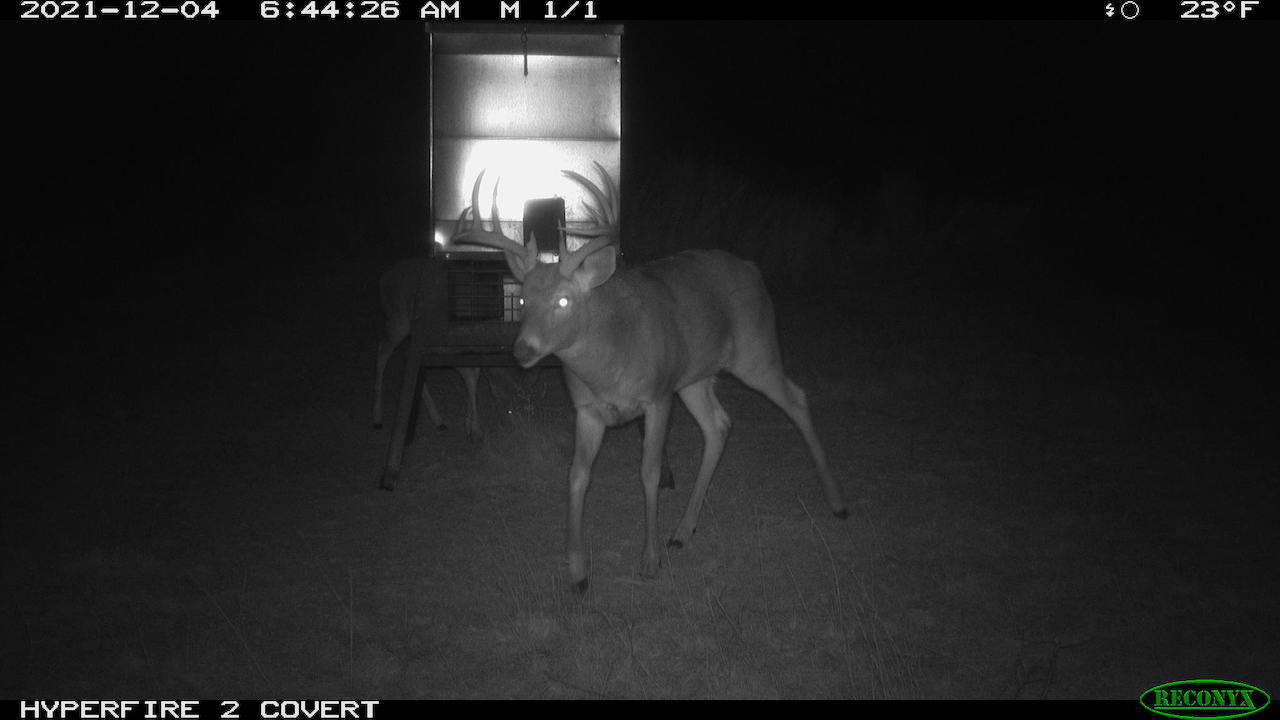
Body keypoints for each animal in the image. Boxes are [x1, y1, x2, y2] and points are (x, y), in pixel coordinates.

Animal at [374, 256, 483, 441]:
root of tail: (383, 277)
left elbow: (474, 374)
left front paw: (469, 425)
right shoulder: (451, 344)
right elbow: (470, 375)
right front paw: (475, 430)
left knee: (405, 355)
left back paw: (438, 420)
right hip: (399, 320)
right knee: (383, 352)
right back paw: (378, 418)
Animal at [454, 163, 848, 590]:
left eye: (563, 300)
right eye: (524, 299)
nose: (523, 350)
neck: (609, 361)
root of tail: (752, 268)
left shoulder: (658, 397)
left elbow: (649, 473)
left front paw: (649, 559)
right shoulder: (588, 411)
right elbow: (577, 476)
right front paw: (578, 571)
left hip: (755, 351)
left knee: (796, 398)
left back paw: (837, 503)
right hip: (693, 378)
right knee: (719, 425)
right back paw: (683, 531)